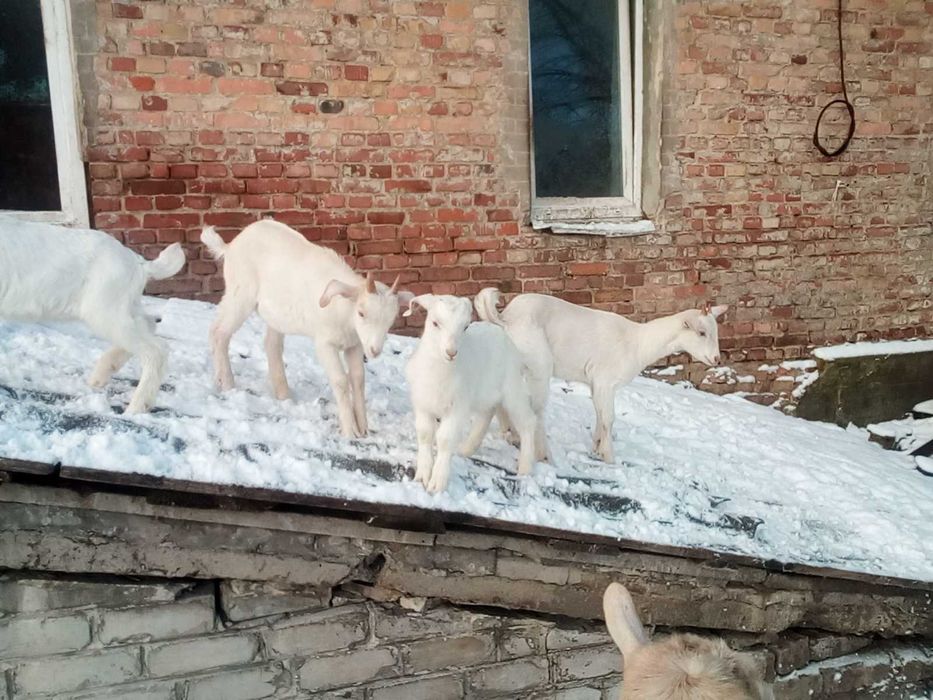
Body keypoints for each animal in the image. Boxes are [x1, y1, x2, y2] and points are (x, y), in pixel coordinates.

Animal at [0, 215, 185, 414]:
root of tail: (138, 263)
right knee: (148, 324)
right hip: (123, 307)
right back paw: (102, 373)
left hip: (105, 311)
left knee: (156, 350)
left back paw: (136, 407)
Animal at [202, 219, 412, 438]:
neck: (344, 312)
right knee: (218, 332)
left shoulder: (354, 345)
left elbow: (358, 379)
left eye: (391, 320)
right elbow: (340, 380)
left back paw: (284, 395)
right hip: (240, 293)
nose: (375, 350)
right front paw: (349, 431)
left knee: (271, 345)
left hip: (275, 314)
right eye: (361, 313)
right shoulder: (324, 343)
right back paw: (226, 383)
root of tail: (230, 246)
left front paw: (363, 428)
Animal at [404, 294, 539, 493]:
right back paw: (465, 450)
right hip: (486, 394)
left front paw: (436, 484)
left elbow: (445, 439)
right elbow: (425, 434)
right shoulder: (422, 404)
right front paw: (421, 477)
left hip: (512, 388)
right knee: (487, 414)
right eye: (435, 323)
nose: (451, 352)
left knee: (528, 422)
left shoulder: (457, 407)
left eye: (465, 326)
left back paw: (524, 469)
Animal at [475, 289, 727, 463]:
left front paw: (597, 447)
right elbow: (609, 418)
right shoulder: (606, 379)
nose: (716, 359)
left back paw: (512, 435)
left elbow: (599, 414)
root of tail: (506, 318)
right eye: (701, 332)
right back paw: (543, 454)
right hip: (538, 363)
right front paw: (609, 457)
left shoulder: (596, 383)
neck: (638, 343)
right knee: (536, 410)